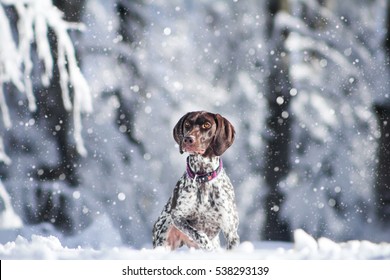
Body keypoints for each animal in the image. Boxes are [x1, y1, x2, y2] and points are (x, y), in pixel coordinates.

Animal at [152, 110, 238, 250]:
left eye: (207, 125)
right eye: (187, 124)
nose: (188, 139)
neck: (203, 176)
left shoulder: (231, 231)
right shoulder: (177, 217)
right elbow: (199, 234)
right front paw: (208, 246)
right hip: (162, 238)